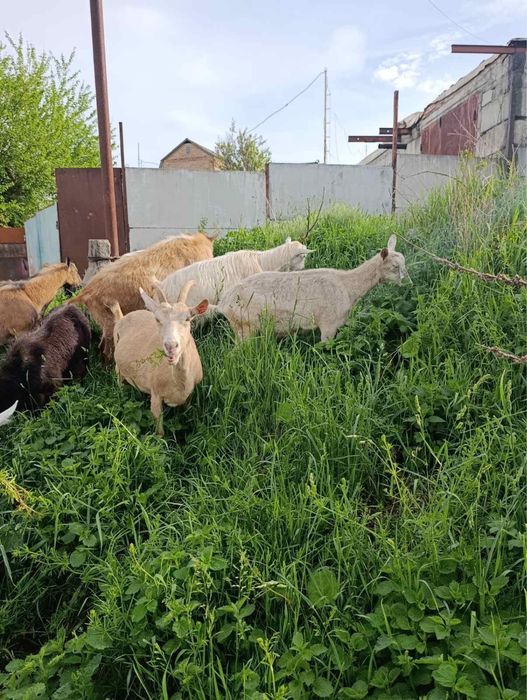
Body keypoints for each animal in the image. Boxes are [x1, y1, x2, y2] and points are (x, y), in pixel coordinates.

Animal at [112, 281, 208, 435]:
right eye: (157, 319)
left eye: (188, 318)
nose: (171, 346)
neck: (180, 383)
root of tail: (122, 317)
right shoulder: (156, 395)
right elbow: (159, 432)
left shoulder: (189, 394)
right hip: (118, 363)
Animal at [211, 235, 410, 341]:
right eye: (395, 267)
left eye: (404, 263)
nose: (408, 282)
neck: (347, 285)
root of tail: (223, 303)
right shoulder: (328, 325)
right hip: (244, 327)